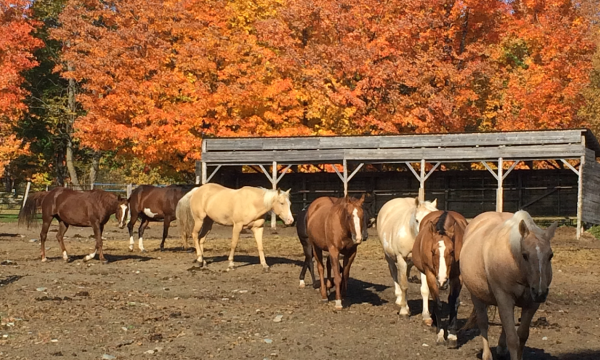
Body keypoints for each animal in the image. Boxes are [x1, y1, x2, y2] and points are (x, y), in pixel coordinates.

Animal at [412, 211, 468, 348]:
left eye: (452, 251)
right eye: (432, 251)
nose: (442, 281)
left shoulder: (457, 277)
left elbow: (454, 302)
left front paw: (452, 335)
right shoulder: (431, 275)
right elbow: (438, 304)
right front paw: (440, 334)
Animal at [460, 211, 556, 360]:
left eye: (550, 255)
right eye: (525, 255)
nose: (540, 292)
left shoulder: (532, 304)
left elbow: (522, 336)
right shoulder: (504, 298)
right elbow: (512, 338)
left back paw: (501, 348)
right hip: (476, 296)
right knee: (483, 323)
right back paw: (487, 355)